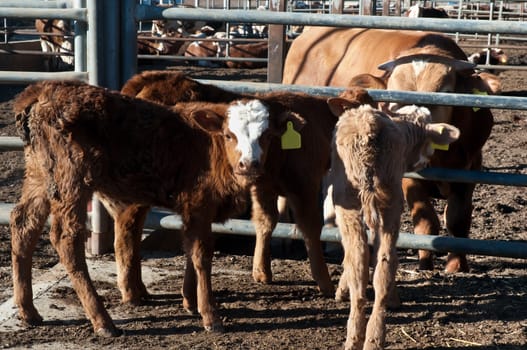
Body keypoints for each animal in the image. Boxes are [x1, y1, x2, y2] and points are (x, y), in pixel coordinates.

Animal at [11, 80, 306, 334]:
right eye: (229, 135)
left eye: (266, 136)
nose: (249, 164)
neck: (207, 146)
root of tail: (43, 90)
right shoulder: (198, 204)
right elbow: (202, 255)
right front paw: (210, 315)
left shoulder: (194, 210)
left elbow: (190, 250)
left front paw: (190, 302)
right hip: (71, 180)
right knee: (66, 239)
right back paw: (102, 321)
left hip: (40, 176)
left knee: (23, 224)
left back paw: (28, 311)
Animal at [284, 27, 500, 274]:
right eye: (394, 96)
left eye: (445, 93)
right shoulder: (409, 178)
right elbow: (426, 221)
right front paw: (425, 262)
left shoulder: (470, 168)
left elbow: (457, 219)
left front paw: (456, 264)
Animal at [328, 101, 460, 350]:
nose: (427, 159)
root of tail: (368, 128)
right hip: (385, 201)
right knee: (381, 261)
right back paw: (372, 334)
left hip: (353, 202)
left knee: (360, 259)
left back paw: (361, 335)